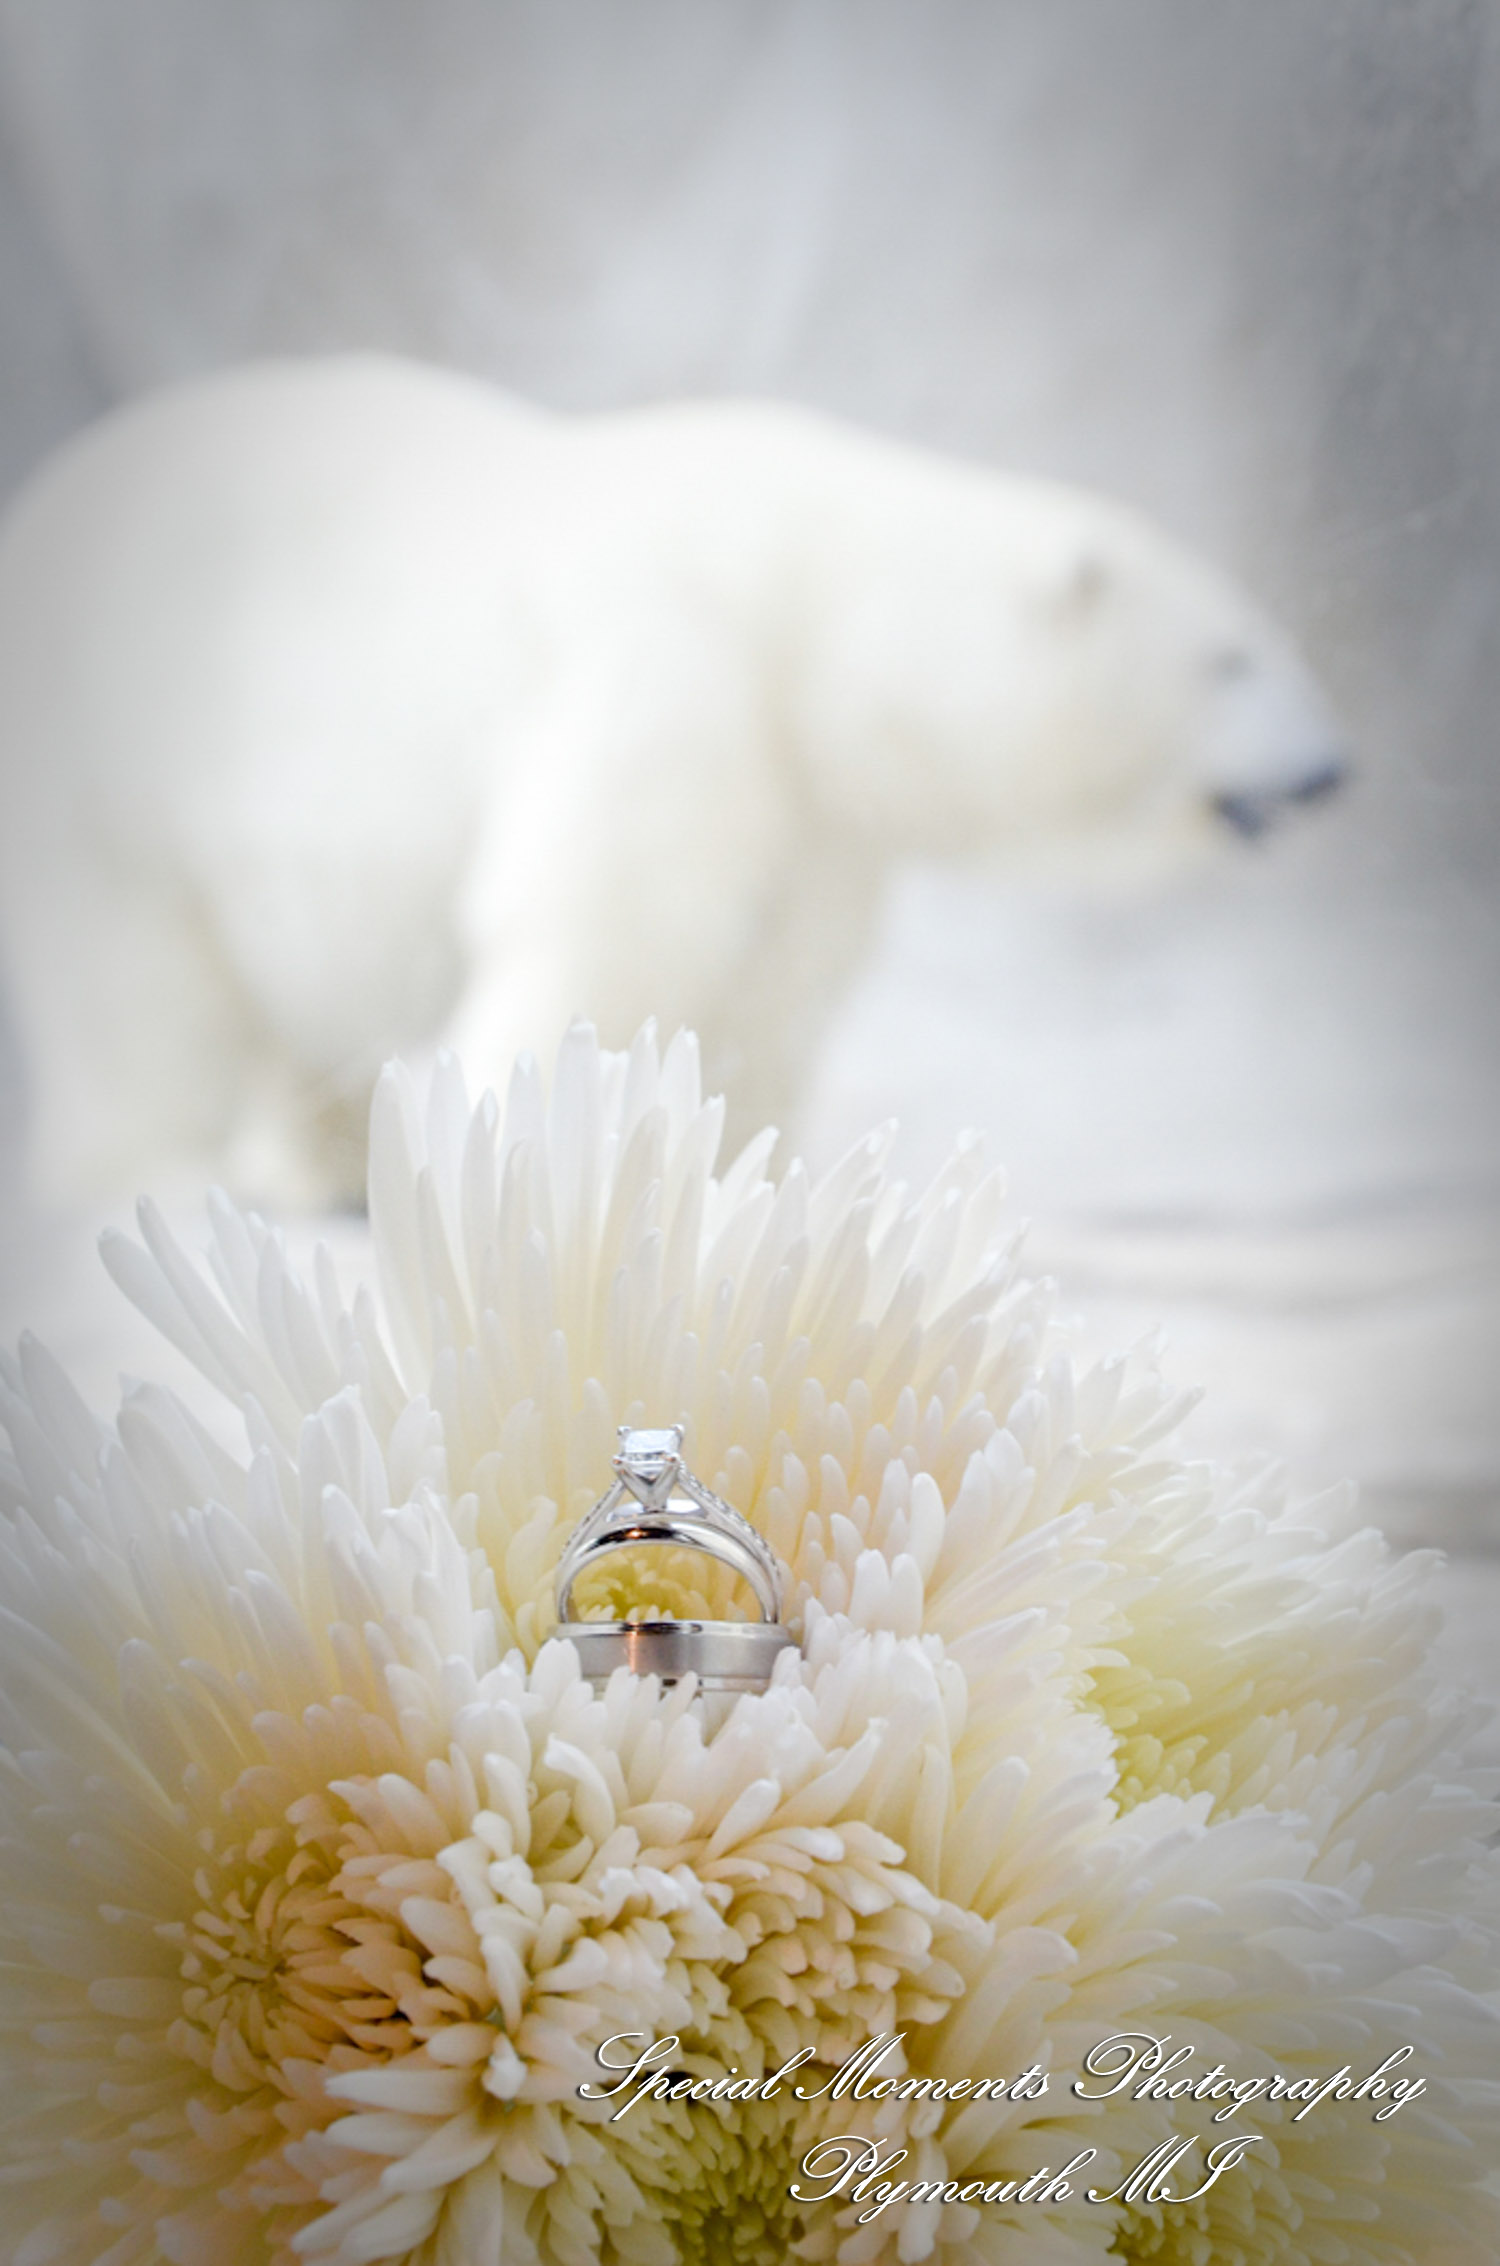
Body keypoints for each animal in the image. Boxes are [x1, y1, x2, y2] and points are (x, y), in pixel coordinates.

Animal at [0, 354, 1346, 1208]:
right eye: (1231, 657)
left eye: (1268, 641)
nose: (1333, 768)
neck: (810, 605)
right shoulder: (676, 676)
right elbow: (606, 927)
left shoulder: (810, 812)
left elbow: (769, 985)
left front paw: (738, 1177)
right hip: (115, 747)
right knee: (137, 988)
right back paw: (162, 1173)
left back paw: (322, 1164)